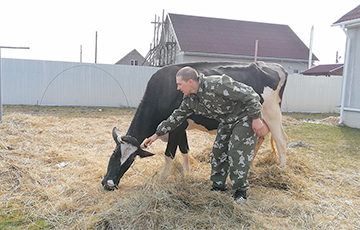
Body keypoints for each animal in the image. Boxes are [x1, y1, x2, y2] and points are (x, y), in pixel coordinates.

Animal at [101, 61, 286, 190]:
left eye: (130, 161)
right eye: (114, 155)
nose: (108, 184)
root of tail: (274, 66)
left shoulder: (176, 128)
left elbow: (169, 154)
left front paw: (164, 177)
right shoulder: (181, 125)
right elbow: (185, 149)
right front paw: (187, 173)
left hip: (272, 113)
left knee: (280, 140)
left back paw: (282, 169)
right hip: (259, 121)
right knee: (259, 139)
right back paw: (250, 165)